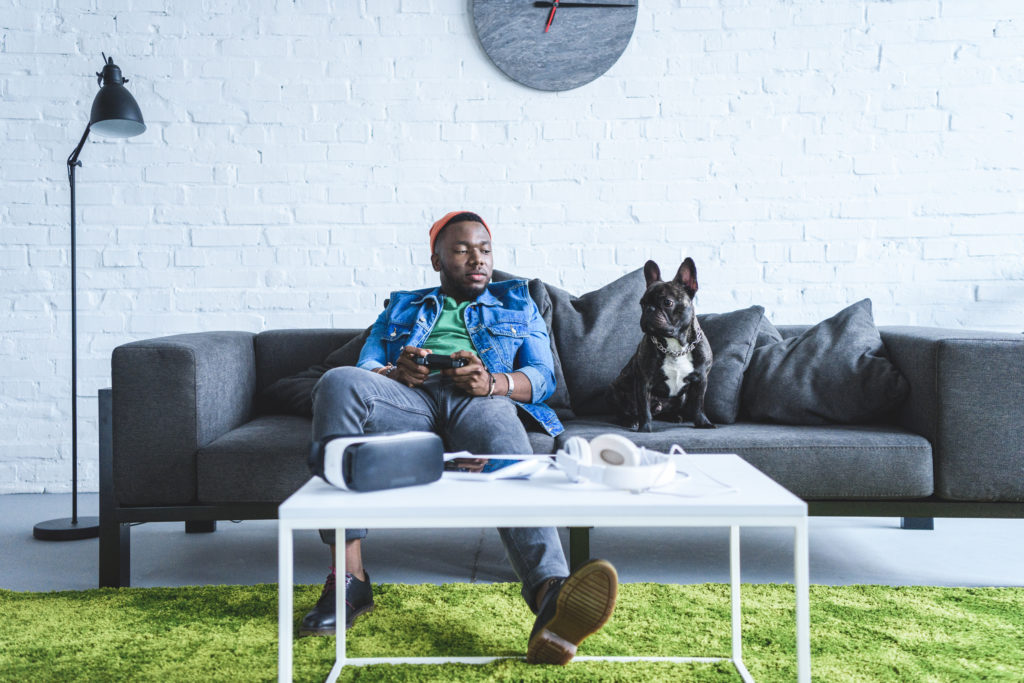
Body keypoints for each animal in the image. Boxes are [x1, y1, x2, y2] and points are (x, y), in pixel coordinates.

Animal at [610, 259, 716, 430]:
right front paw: (645, 428)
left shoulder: (701, 379)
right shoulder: (644, 380)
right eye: (642, 303)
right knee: (625, 411)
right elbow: (644, 408)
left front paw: (703, 423)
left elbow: (699, 405)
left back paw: (674, 416)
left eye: (667, 302)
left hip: (681, 397)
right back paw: (630, 420)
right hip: (616, 390)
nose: (649, 309)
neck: (676, 346)